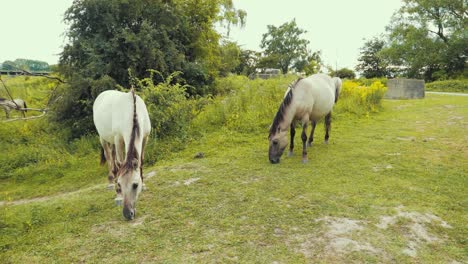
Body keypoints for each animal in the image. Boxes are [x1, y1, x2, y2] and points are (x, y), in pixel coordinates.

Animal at [94, 87, 153, 220]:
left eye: (135, 185)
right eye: (120, 184)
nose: (127, 213)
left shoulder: (145, 138)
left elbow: (141, 161)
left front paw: (144, 184)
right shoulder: (118, 139)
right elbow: (118, 165)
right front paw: (119, 195)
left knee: (112, 154)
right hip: (103, 138)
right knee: (109, 157)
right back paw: (111, 181)